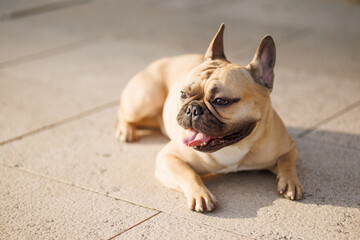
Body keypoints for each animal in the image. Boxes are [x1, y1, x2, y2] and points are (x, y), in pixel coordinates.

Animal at [116, 23, 304, 212]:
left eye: (221, 101)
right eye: (183, 94)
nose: (192, 109)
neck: (234, 146)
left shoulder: (289, 147)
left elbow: (287, 162)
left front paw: (290, 183)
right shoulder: (168, 157)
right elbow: (189, 173)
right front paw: (201, 195)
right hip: (143, 99)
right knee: (124, 112)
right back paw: (126, 130)